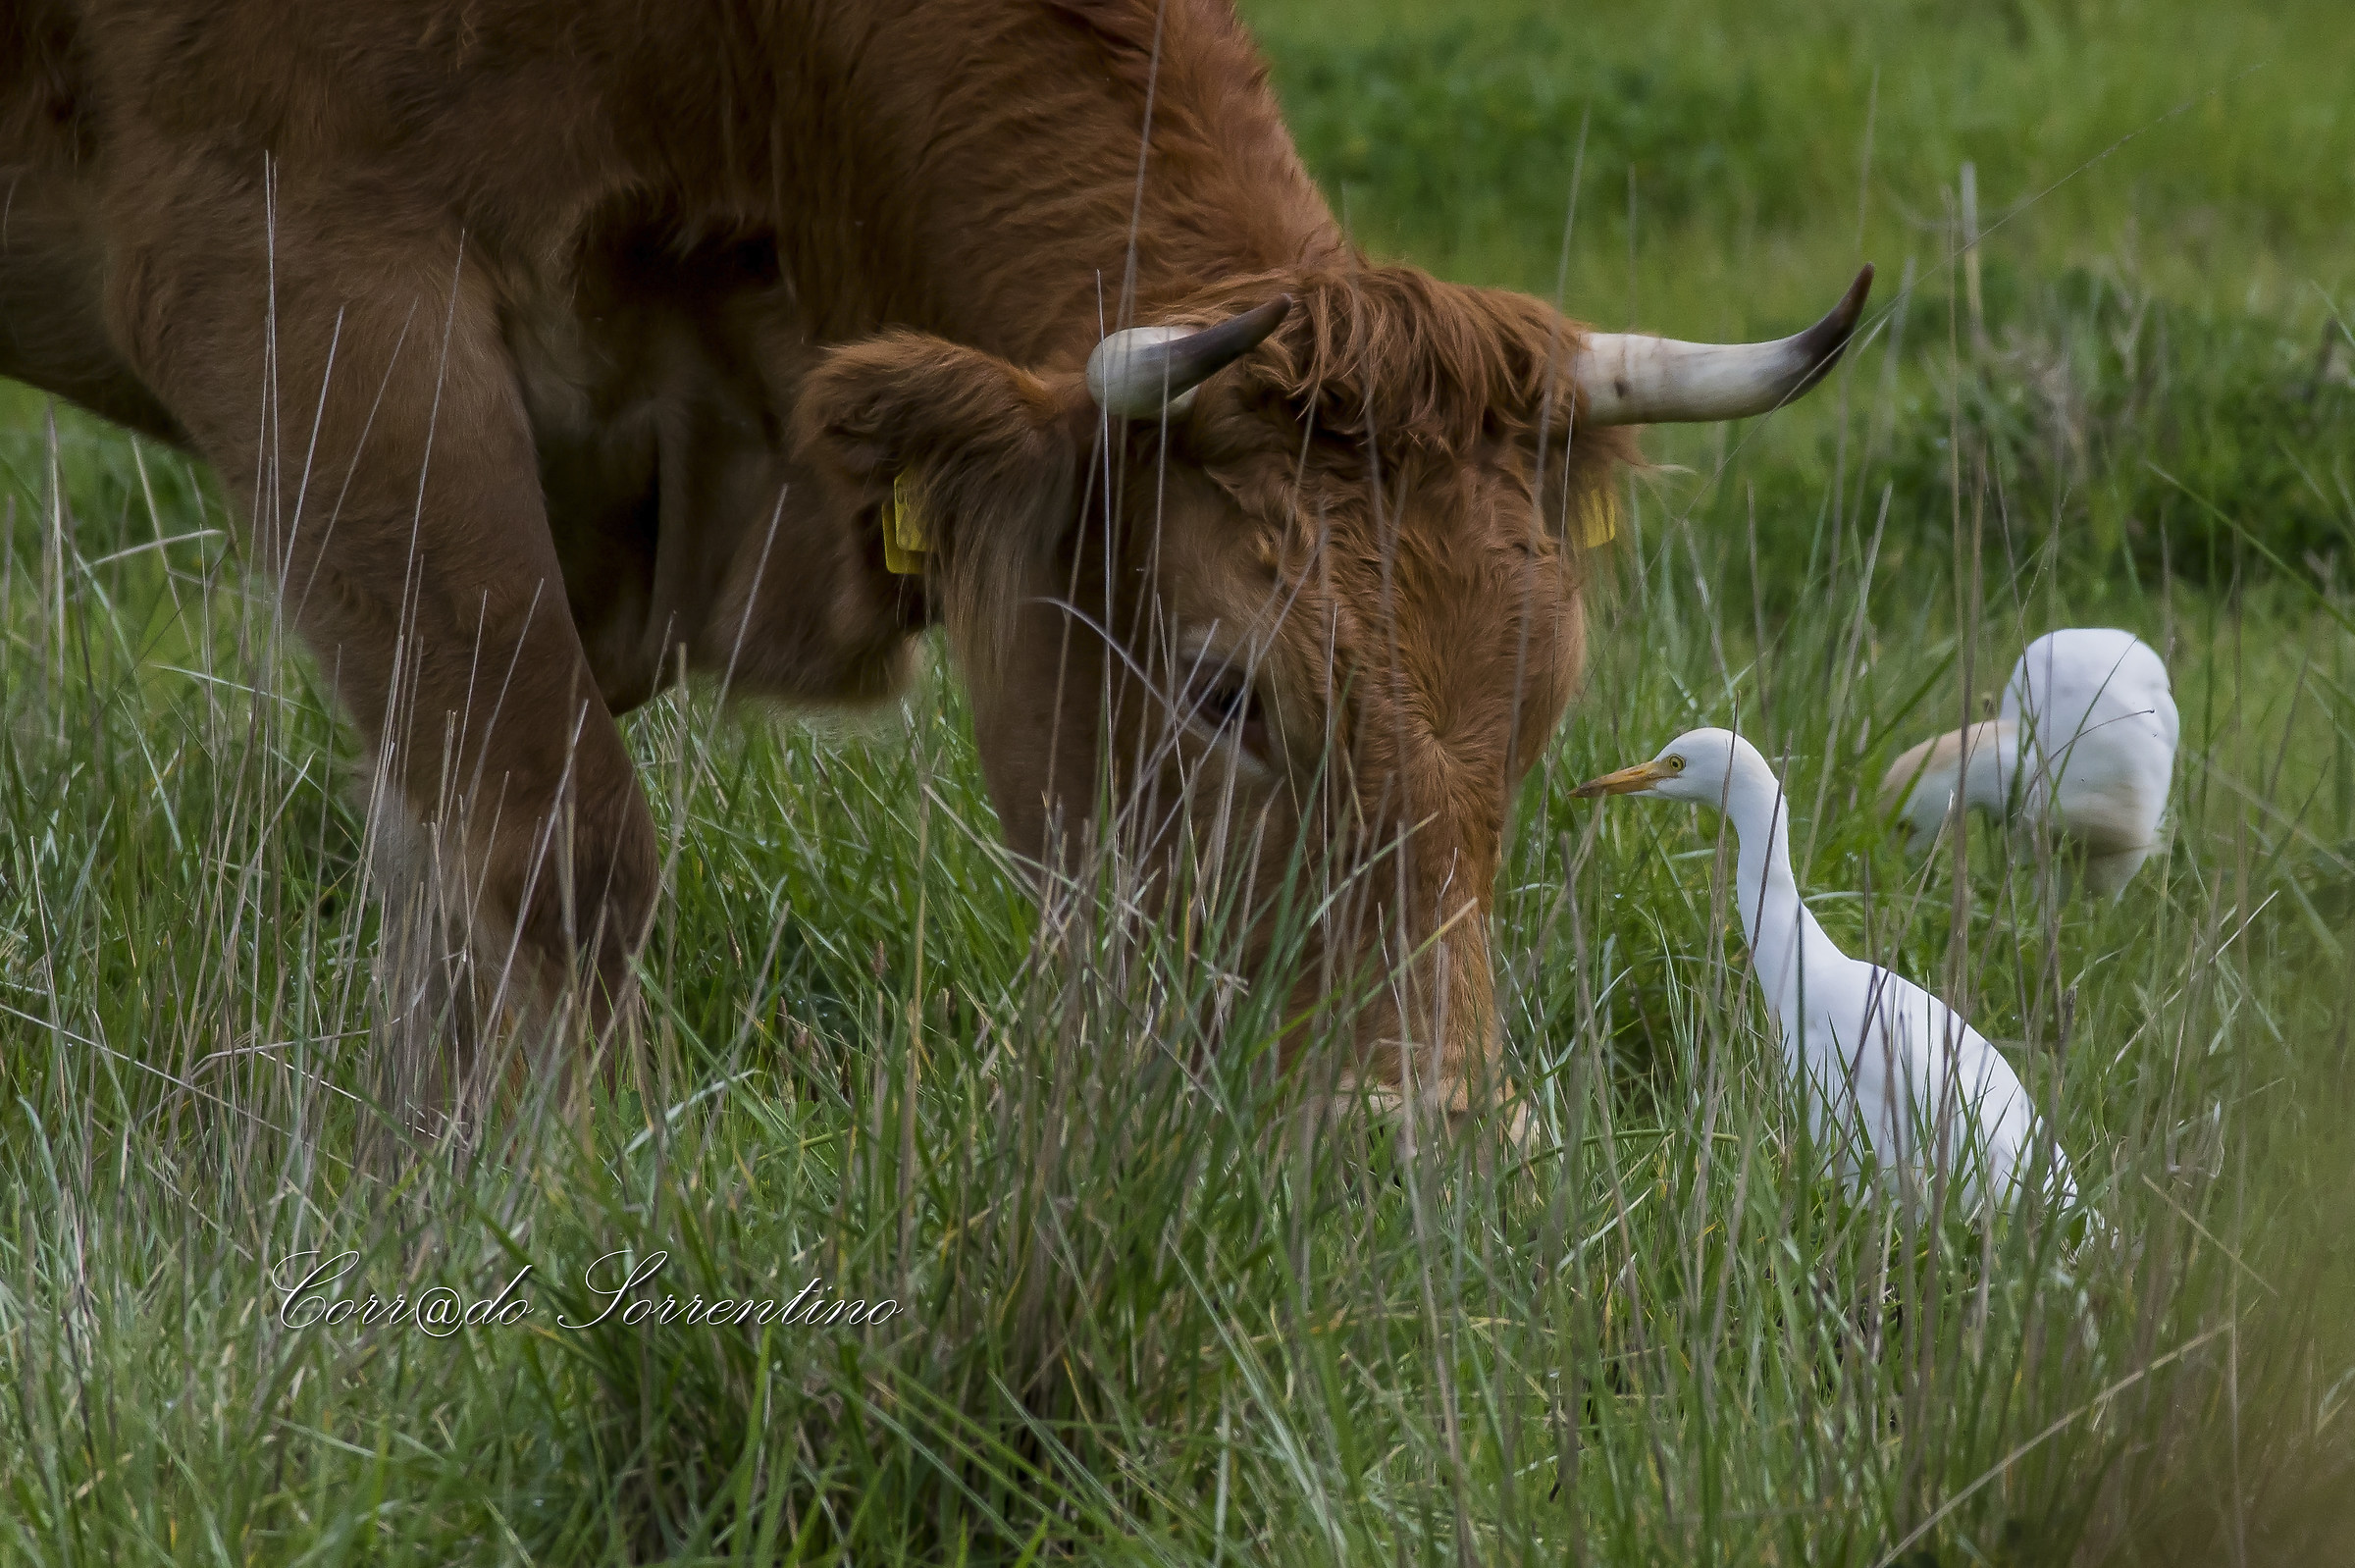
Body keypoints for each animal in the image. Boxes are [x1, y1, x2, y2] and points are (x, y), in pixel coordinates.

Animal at [0, 0, 1868, 1127]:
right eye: (1221, 686)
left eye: (1540, 704)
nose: (1429, 1140)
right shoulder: (305, 295)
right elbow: (554, 855)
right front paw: (560, 1204)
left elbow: (426, 888)